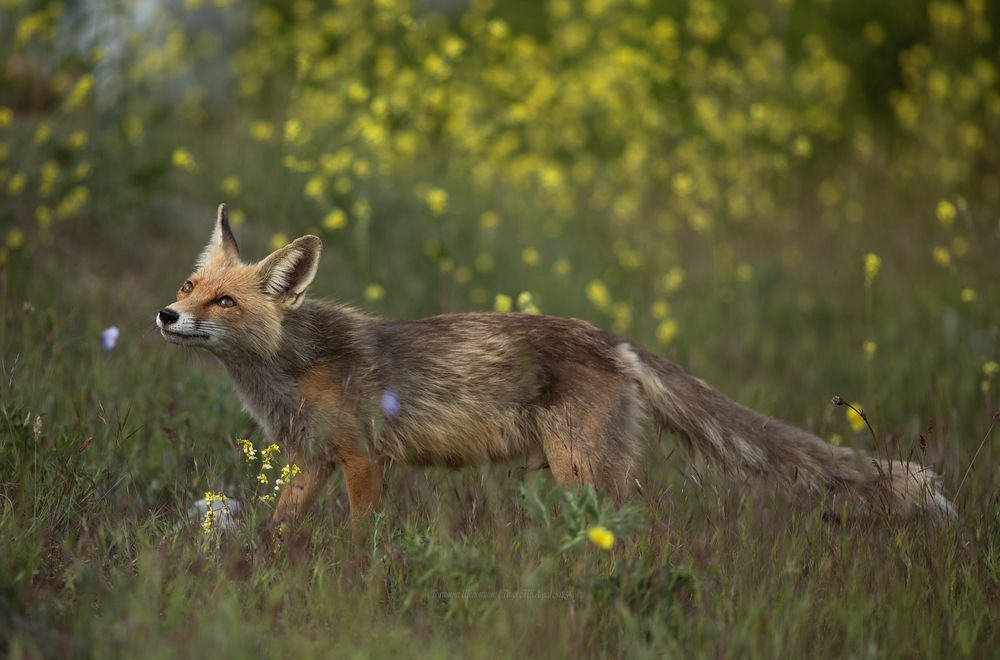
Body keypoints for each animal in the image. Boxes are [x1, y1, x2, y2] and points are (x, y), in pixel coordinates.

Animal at [157, 204, 955, 539]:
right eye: (188, 287)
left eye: (225, 301)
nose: (165, 316)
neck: (291, 368)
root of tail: (615, 339)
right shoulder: (313, 461)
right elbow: (279, 528)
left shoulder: (360, 458)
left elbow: (362, 537)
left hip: (586, 472)